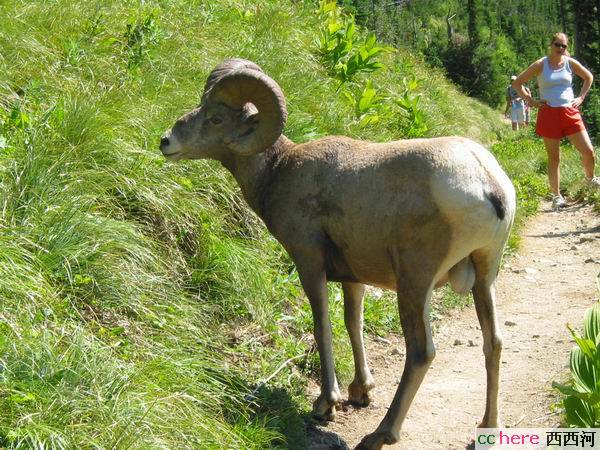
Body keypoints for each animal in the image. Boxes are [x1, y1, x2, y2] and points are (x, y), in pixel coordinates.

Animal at [159, 59, 516, 450]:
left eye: (216, 118)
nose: (166, 142)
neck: (280, 170)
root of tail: (489, 184)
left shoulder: (309, 262)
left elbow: (323, 326)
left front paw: (326, 403)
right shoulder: (354, 278)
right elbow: (352, 323)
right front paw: (360, 392)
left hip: (415, 282)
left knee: (421, 352)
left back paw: (380, 435)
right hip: (485, 275)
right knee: (494, 342)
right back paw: (488, 426)